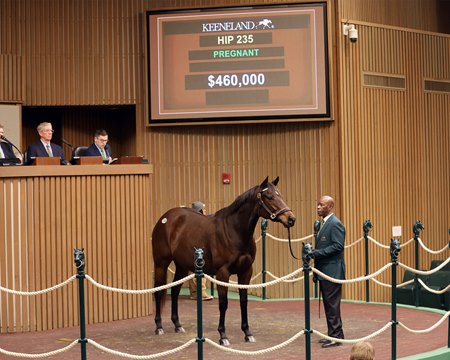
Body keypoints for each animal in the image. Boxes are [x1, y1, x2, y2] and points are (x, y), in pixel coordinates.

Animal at [153, 177, 298, 346]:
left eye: (279, 194)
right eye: (269, 197)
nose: (291, 219)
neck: (234, 230)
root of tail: (166, 218)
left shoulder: (246, 272)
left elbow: (243, 301)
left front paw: (247, 333)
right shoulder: (223, 273)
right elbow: (223, 303)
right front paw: (223, 336)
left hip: (182, 266)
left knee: (175, 292)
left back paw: (177, 325)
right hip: (161, 264)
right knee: (158, 291)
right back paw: (159, 326)